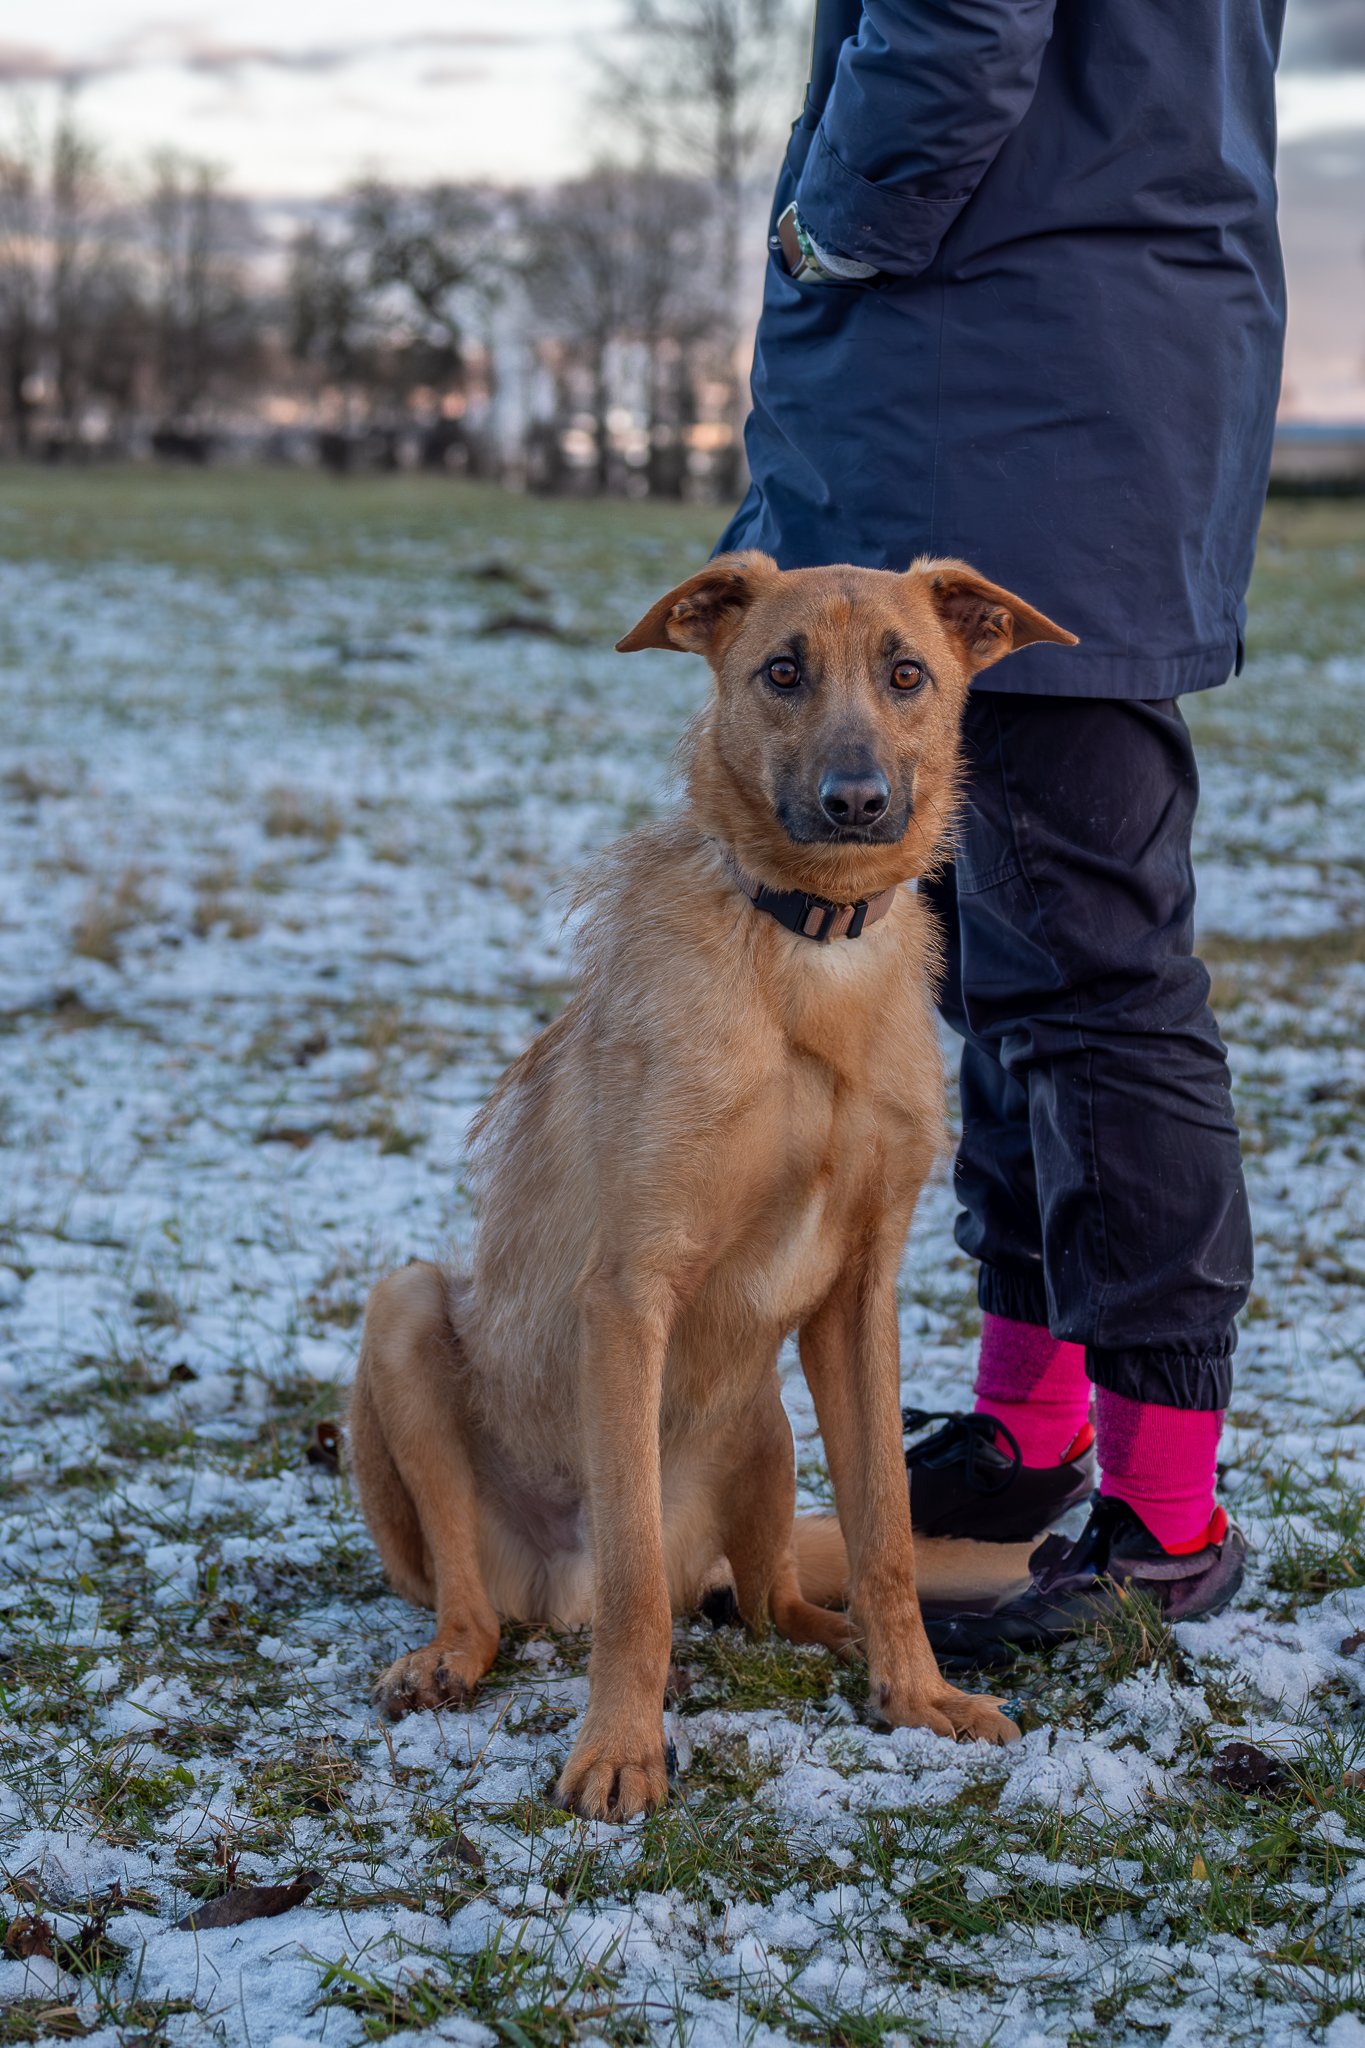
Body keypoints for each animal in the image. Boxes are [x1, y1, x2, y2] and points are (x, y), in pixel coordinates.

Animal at [347, 551, 1076, 1821]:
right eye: (781, 671)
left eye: (907, 673)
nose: (855, 799)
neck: (809, 953)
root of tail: (550, 1588)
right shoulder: (629, 1294)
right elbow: (636, 1579)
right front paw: (621, 1747)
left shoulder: (859, 1298)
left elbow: (887, 1529)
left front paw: (917, 1696)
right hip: (404, 1319)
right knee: (490, 1600)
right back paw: (448, 1658)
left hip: (768, 1422)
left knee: (774, 1593)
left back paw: (834, 1632)